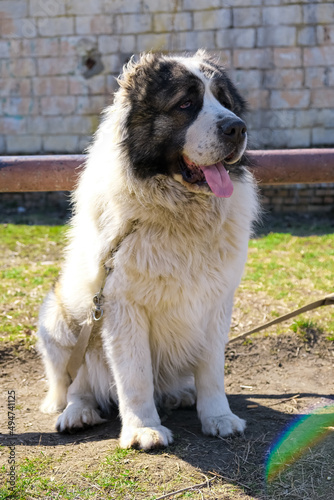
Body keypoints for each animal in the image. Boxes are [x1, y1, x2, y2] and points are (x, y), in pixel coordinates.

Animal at [37, 50, 260, 450]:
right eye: (186, 104)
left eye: (225, 102)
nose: (237, 128)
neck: (179, 214)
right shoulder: (121, 306)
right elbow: (135, 375)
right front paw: (143, 429)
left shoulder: (217, 303)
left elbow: (211, 370)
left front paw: (218, 417)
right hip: (59, 320)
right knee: (76, 383)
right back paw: (77, 413)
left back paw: (181, 394)